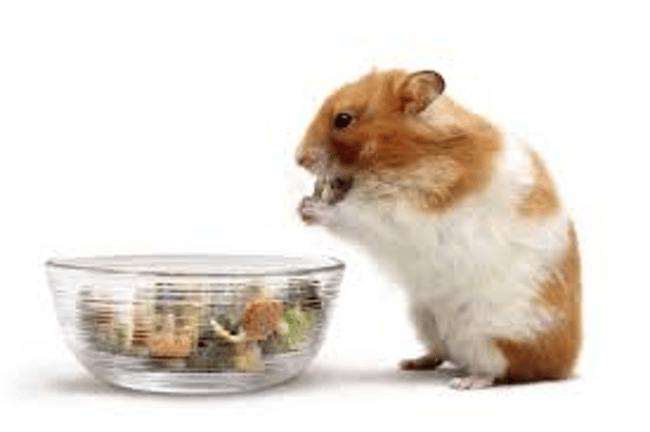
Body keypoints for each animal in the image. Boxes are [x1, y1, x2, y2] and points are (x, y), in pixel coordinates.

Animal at [295, 69, 580, 389]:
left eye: (343, 119)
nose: (298, 158)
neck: (405, 156)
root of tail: (562, 366)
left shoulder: (396, 216)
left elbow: (350, 215)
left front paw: (309, 208)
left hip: (489, 331)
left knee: (498, 369)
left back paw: (465, 382)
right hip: (424, 316)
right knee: (442, 352)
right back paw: (410, 363)